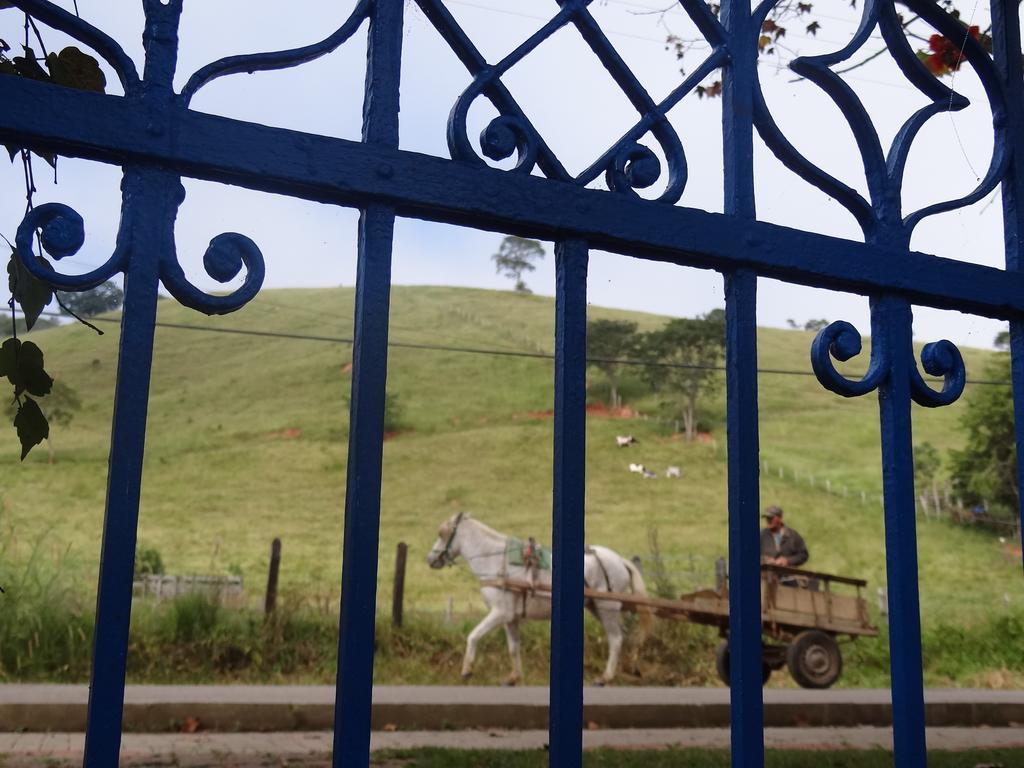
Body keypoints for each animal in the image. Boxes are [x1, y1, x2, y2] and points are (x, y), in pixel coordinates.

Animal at [425, 514, 655, 688]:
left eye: (442, 534)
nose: (430, 559)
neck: (496, 561)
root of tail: (619, 560)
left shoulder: (499, 613)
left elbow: (473, 636)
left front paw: (466, 670)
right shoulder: (510, 618)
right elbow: (513, 647)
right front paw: (513, 677)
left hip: (607, 608)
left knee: (616, 639)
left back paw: (605, 677)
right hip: (597, 608)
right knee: (622, 635)